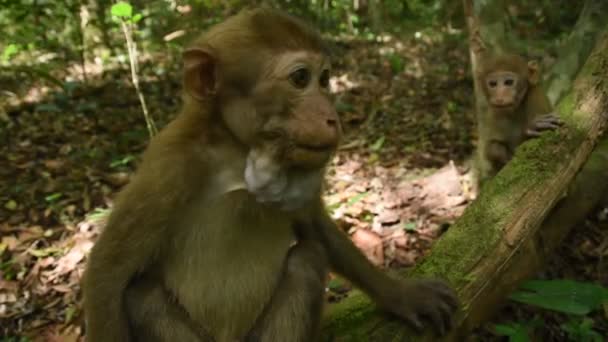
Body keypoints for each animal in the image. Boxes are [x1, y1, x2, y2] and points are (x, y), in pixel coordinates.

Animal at [83, 8, 458, 342]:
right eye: (300, 78)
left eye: (324, 79)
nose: (332, 118)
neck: (236, 150)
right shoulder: (169, 168)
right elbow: (107, 273)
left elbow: (315, 228)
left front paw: (402, 295)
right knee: (140, 296)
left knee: (307, 260)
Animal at [478, 52, 564, 182]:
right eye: (493, 84)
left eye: (508, 82)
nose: (500, 96)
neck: (515, 110)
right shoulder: (493, 115)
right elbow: (492, 148)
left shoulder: (536, 96)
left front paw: (531, 127)